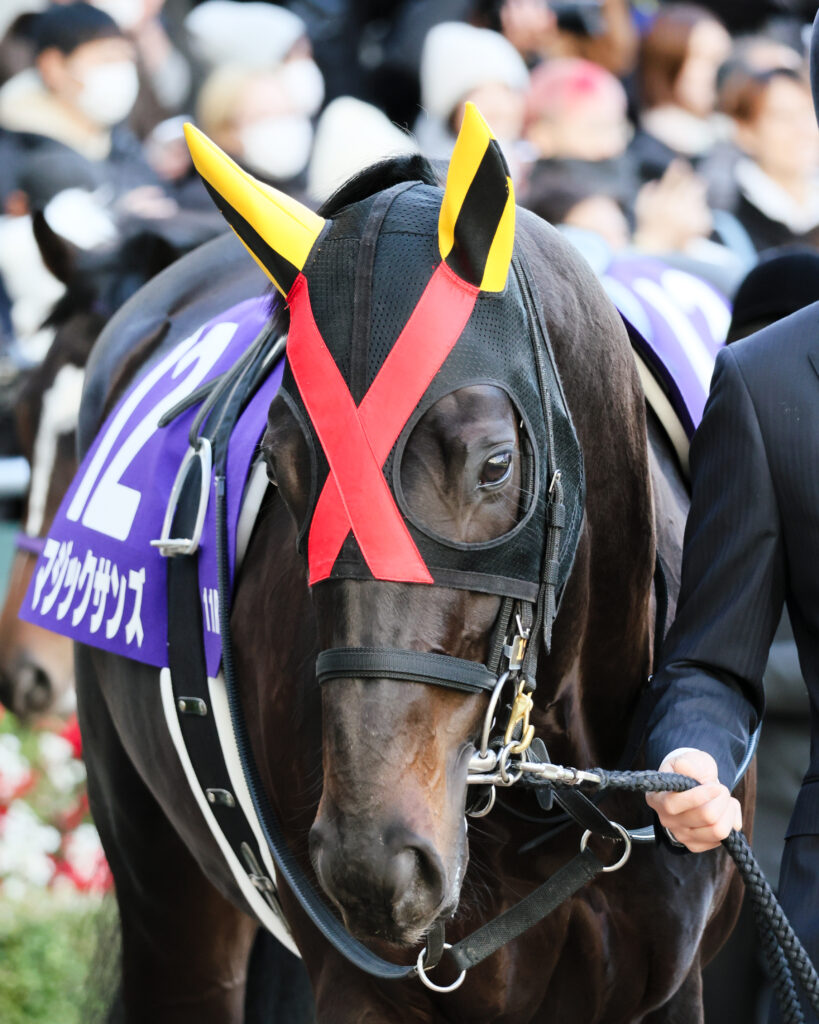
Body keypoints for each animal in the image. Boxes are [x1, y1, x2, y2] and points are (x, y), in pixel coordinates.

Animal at [66, 108, 751, 1023]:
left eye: (495, 464)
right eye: (284, 467)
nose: (376, 861)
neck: (565, 803)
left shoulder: (668, 986)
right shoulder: (365, 987)